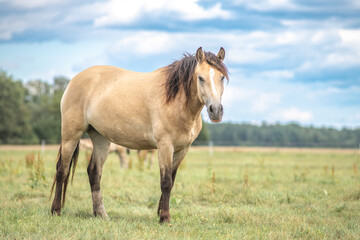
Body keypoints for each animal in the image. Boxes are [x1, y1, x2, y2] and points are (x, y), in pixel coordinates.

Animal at [49, 46, 229, 222]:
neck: (175, 101)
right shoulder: (165, 146)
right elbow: (166, 181)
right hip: (71, 136)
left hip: (101, 139)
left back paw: (101, 214)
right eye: (200, 78)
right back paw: (56, 211)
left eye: (221, 77)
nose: (216, 110)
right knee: (62, 170)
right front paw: (164, 217)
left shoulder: (182, 150)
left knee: (94, 173)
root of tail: (75, 80)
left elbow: (171, 181)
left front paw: (160, 212)